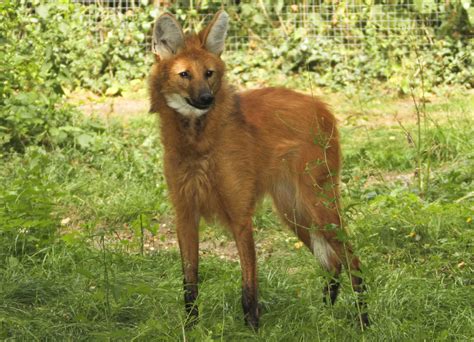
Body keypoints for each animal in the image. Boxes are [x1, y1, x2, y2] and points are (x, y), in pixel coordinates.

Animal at [148, 10, 366, 330]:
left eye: (209, 73)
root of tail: (322, 106)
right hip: (293, 213)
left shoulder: (240, 214)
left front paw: (253, 327)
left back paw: (364, 321)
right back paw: (325, 315)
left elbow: (249, 283)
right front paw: (190, 326)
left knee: (352, 261)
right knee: (333, 262)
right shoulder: (185, 214)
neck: (196, 143)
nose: (207, 99)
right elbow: (190, 282)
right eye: (184, 74)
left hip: (317, 205)